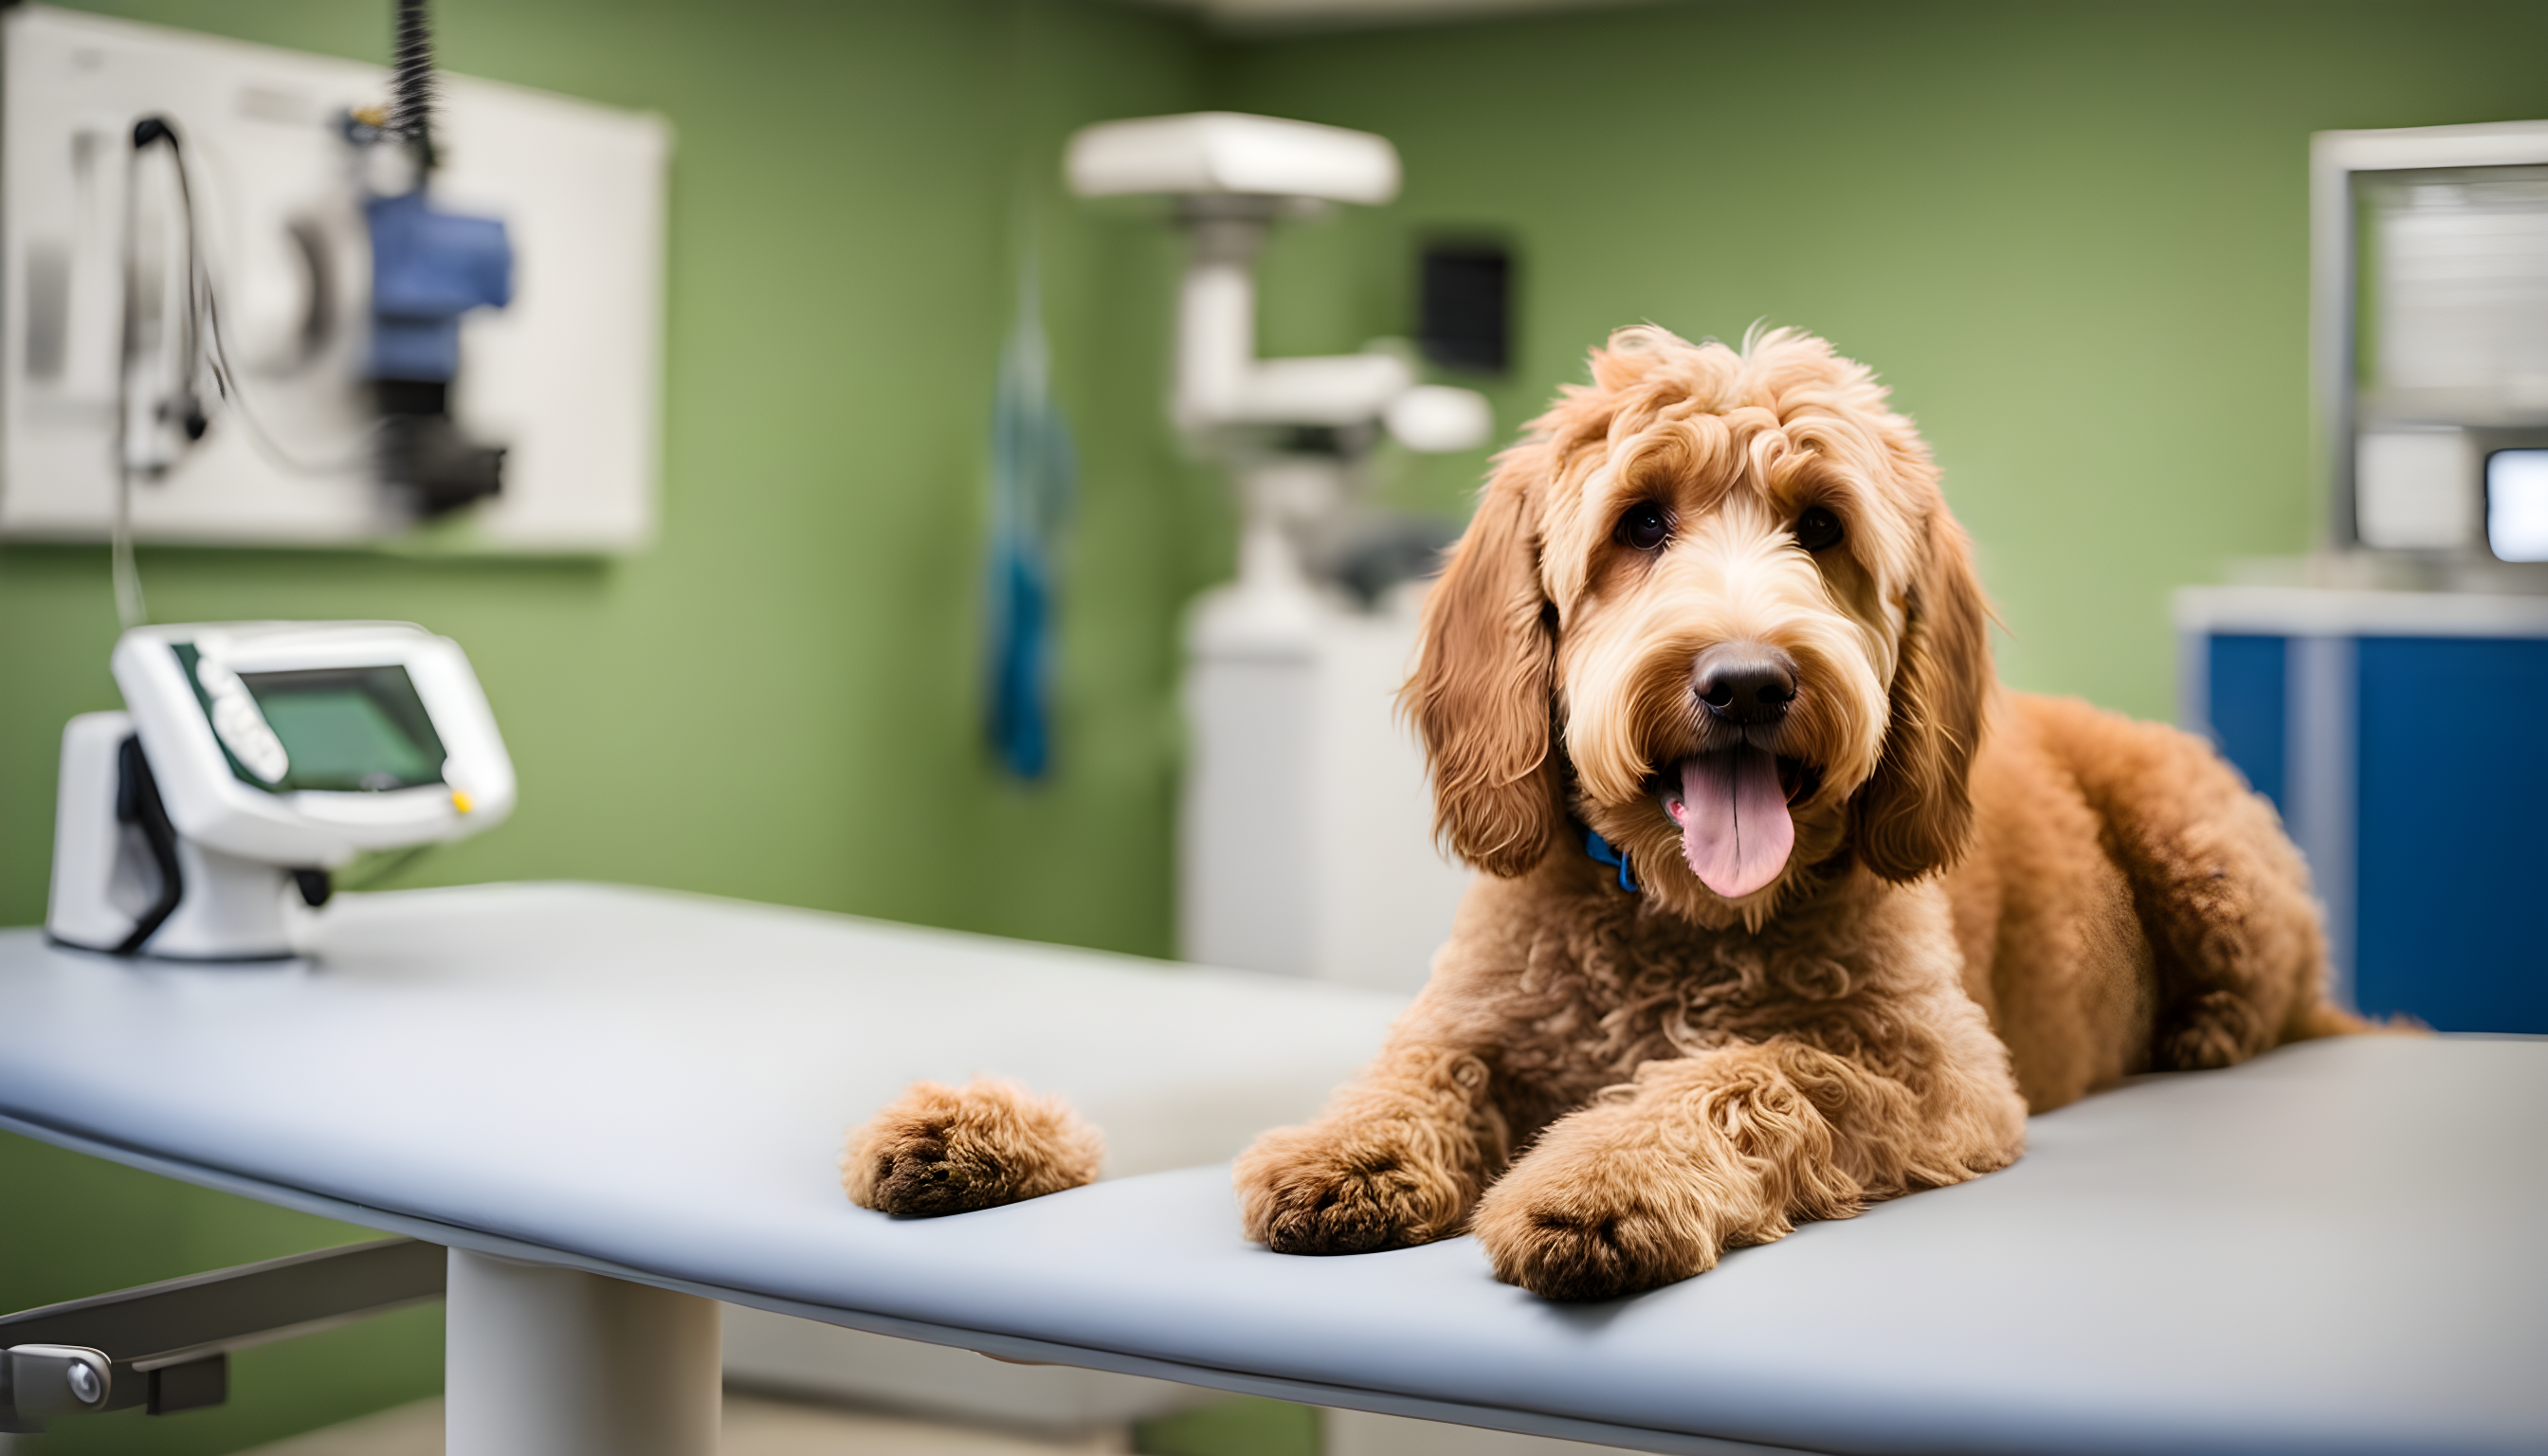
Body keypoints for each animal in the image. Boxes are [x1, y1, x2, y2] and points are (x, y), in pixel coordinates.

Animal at [846, 326, 2354, 1300]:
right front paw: (1345, 1152)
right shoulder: (1476, 1016)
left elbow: (1756, 1070)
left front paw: (1607, 1180)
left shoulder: (1935, 1075)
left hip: (2203, 843)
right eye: (1640, 522)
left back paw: (2209, 1036)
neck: (1673, 923)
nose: (1745, 681)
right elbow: (1412, 1073)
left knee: (2274, 1001)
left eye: (1821, 527)